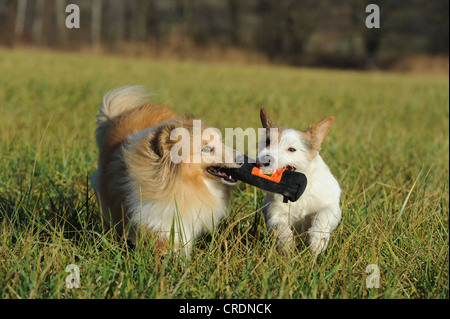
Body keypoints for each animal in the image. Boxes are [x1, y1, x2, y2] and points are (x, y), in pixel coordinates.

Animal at [256, 109, 342, 256]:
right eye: (267, 141)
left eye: (292, 149)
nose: (264, 160)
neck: (299, 188)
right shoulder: (274, 213)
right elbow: (280, 226)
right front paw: (287, 244)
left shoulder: (332, 207)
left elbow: (323, 215)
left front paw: (317, 241)